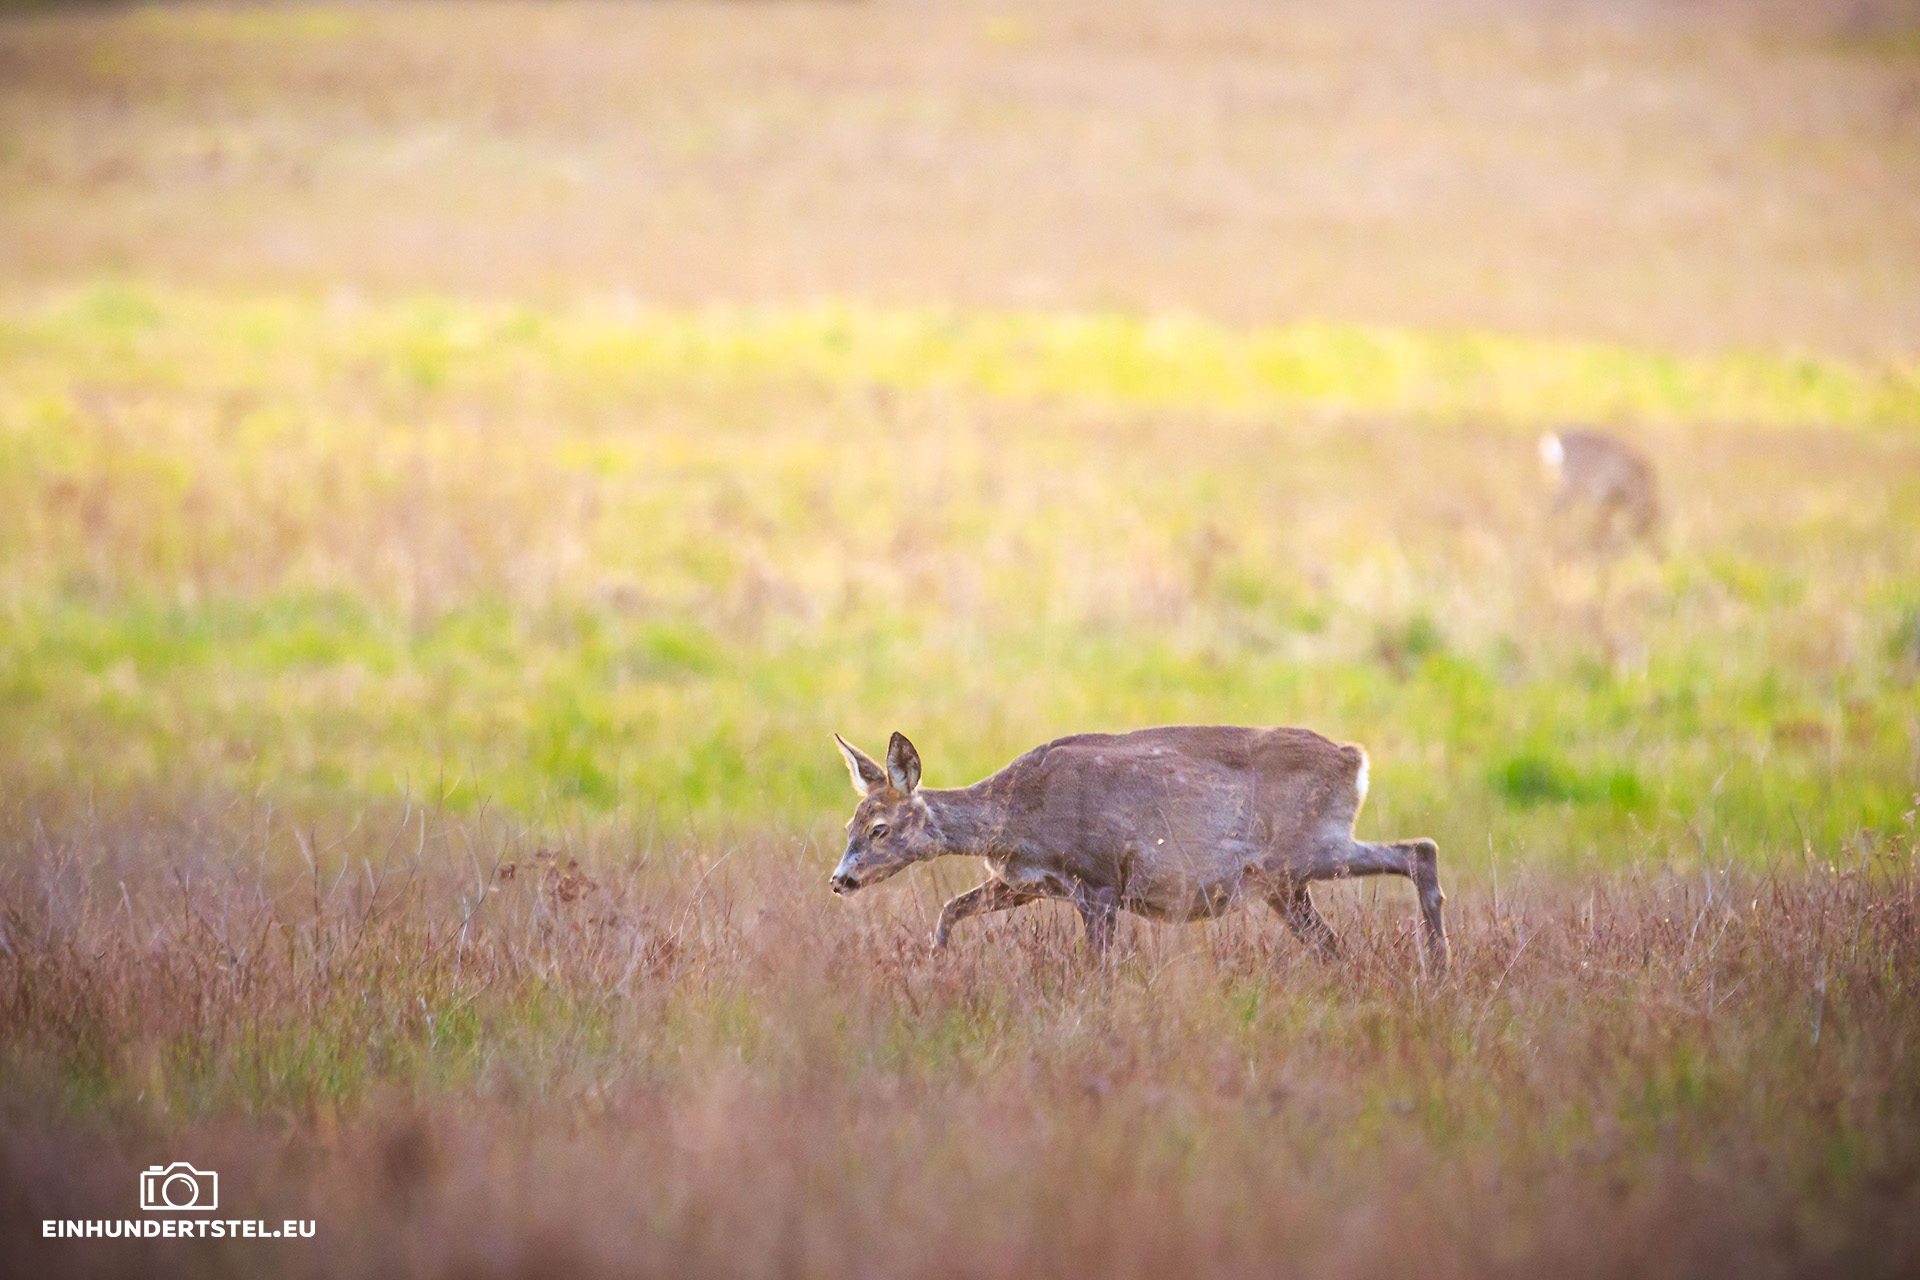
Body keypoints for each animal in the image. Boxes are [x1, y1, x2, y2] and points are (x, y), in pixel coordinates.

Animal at [828, 727, 1449, 974]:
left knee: (1420, 849)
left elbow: (1098, 967)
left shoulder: (1100, 878)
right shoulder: (1029, 883)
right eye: (849, 823)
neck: (1015, 814)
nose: (840, 880)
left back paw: (1438, 970)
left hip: (1308, 849)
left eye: (879, 828)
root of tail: (1355, 760)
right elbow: (950, 909)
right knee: (1334, 943)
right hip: (1285, 885)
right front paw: (935, 965)